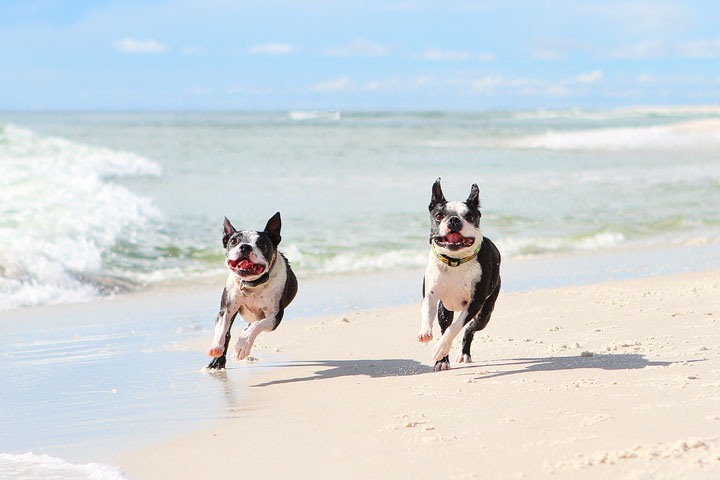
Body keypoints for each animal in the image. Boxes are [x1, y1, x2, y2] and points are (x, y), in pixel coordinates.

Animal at [207, 212, 296, 370]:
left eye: (261, 244)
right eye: (234, 241)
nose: (245, 247)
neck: (252, 285)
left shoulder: (275, 317)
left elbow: (257, 325)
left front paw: (243, 344)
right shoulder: (226, 310)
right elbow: (223, 328)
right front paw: (217, 346)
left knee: (253, 324)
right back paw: (218, 361)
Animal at [416, 179, 500, 372]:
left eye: (469, 216)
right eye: (439, 216)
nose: (454, 220)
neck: (455, 262)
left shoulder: (474, 303)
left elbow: (455, 328)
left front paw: (440, 347)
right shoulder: (430, 295)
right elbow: (427, 312)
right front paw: (425, 331)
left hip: (484, 313)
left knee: (469, 328)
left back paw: (462, 353)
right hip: (444, 310)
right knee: (444, 325)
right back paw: (442, 361)